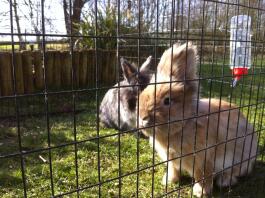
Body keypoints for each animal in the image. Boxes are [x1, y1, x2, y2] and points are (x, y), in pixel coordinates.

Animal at [137, 43, 256, 196]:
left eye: (167, 101)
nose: (142, 118)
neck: (184, 124)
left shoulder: (204, 160)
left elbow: (203, 176)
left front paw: (200, 192)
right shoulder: (172, 161)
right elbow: (173, 169)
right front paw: (168, 181)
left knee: (235, 171)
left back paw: (224, 181)